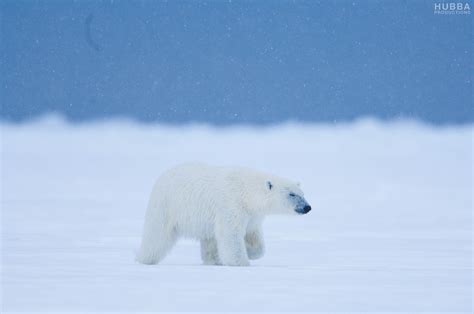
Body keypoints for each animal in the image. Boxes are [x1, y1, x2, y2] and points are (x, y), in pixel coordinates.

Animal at [135, 163, 312, 266]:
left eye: (302, 193)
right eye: (291, 194)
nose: (307, 207)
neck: (247, 192)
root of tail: (161, 177)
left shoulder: (252, 215)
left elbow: (254, 238)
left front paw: (249, 252)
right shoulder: (232, 205)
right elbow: (230, 234)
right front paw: (241, 262)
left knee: (209, 240)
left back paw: (213, 260)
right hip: (167, 205)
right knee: (156, 236)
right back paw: (143, 259)